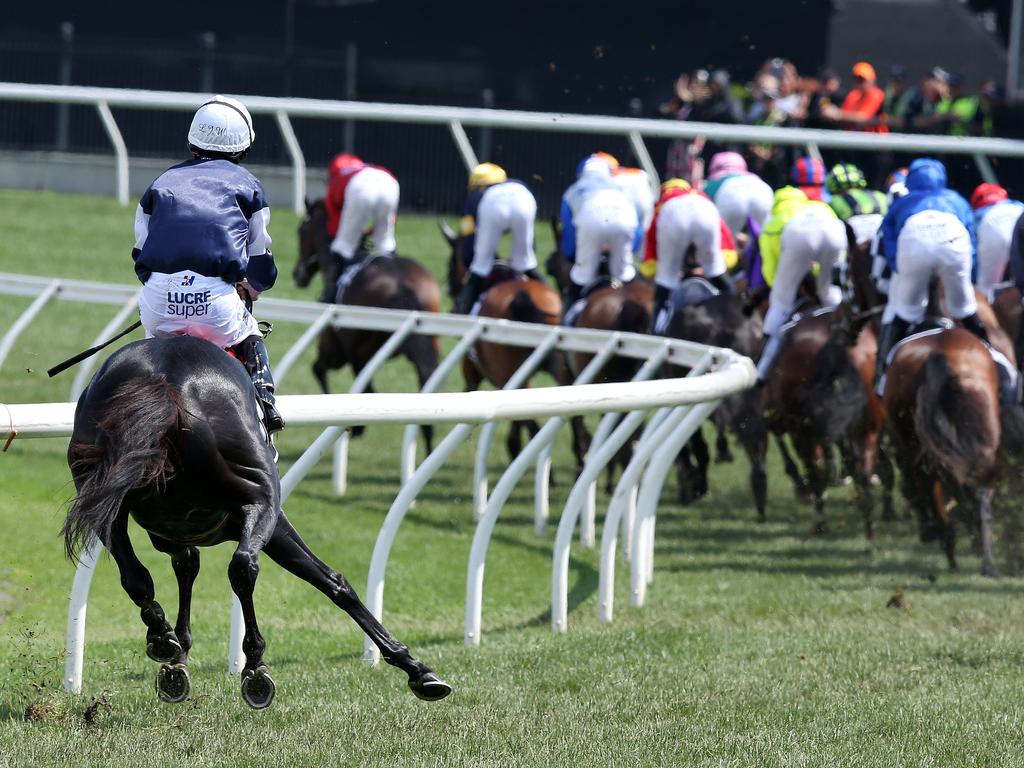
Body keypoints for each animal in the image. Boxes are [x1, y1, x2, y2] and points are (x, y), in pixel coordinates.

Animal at [62, 339, 448, 712]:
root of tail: (163, 379)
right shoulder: (272, 524)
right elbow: (333, 581)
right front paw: (416, 668)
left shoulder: (174, 532)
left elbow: (185, 568)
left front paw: (176, 657)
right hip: (259, 498)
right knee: (242, 567)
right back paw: (254, 666)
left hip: (99, 494)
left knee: (136, 576)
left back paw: (160, 635)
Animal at [294, 198, 442, 450]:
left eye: (301, 231)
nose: (298, 274)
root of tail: (401, 283)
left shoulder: (339, 349)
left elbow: (320, 369)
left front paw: (353, 426)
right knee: (427, 376)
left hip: (358, 347)